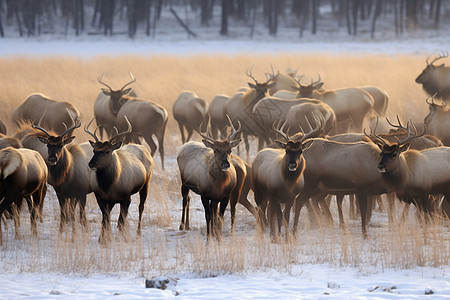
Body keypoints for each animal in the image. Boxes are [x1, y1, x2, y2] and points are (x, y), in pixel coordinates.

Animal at [85, 116, 155, 244]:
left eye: (107, 151)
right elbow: (105, 219)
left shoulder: (124, 196)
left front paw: (120, 237)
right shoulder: (101, 197)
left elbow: (119, 221)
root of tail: (144, 148)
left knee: (140, 207)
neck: (109, 185)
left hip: (146, 183)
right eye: (94, 151)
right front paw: (102, 239)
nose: (91, 163)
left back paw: (137, 233)